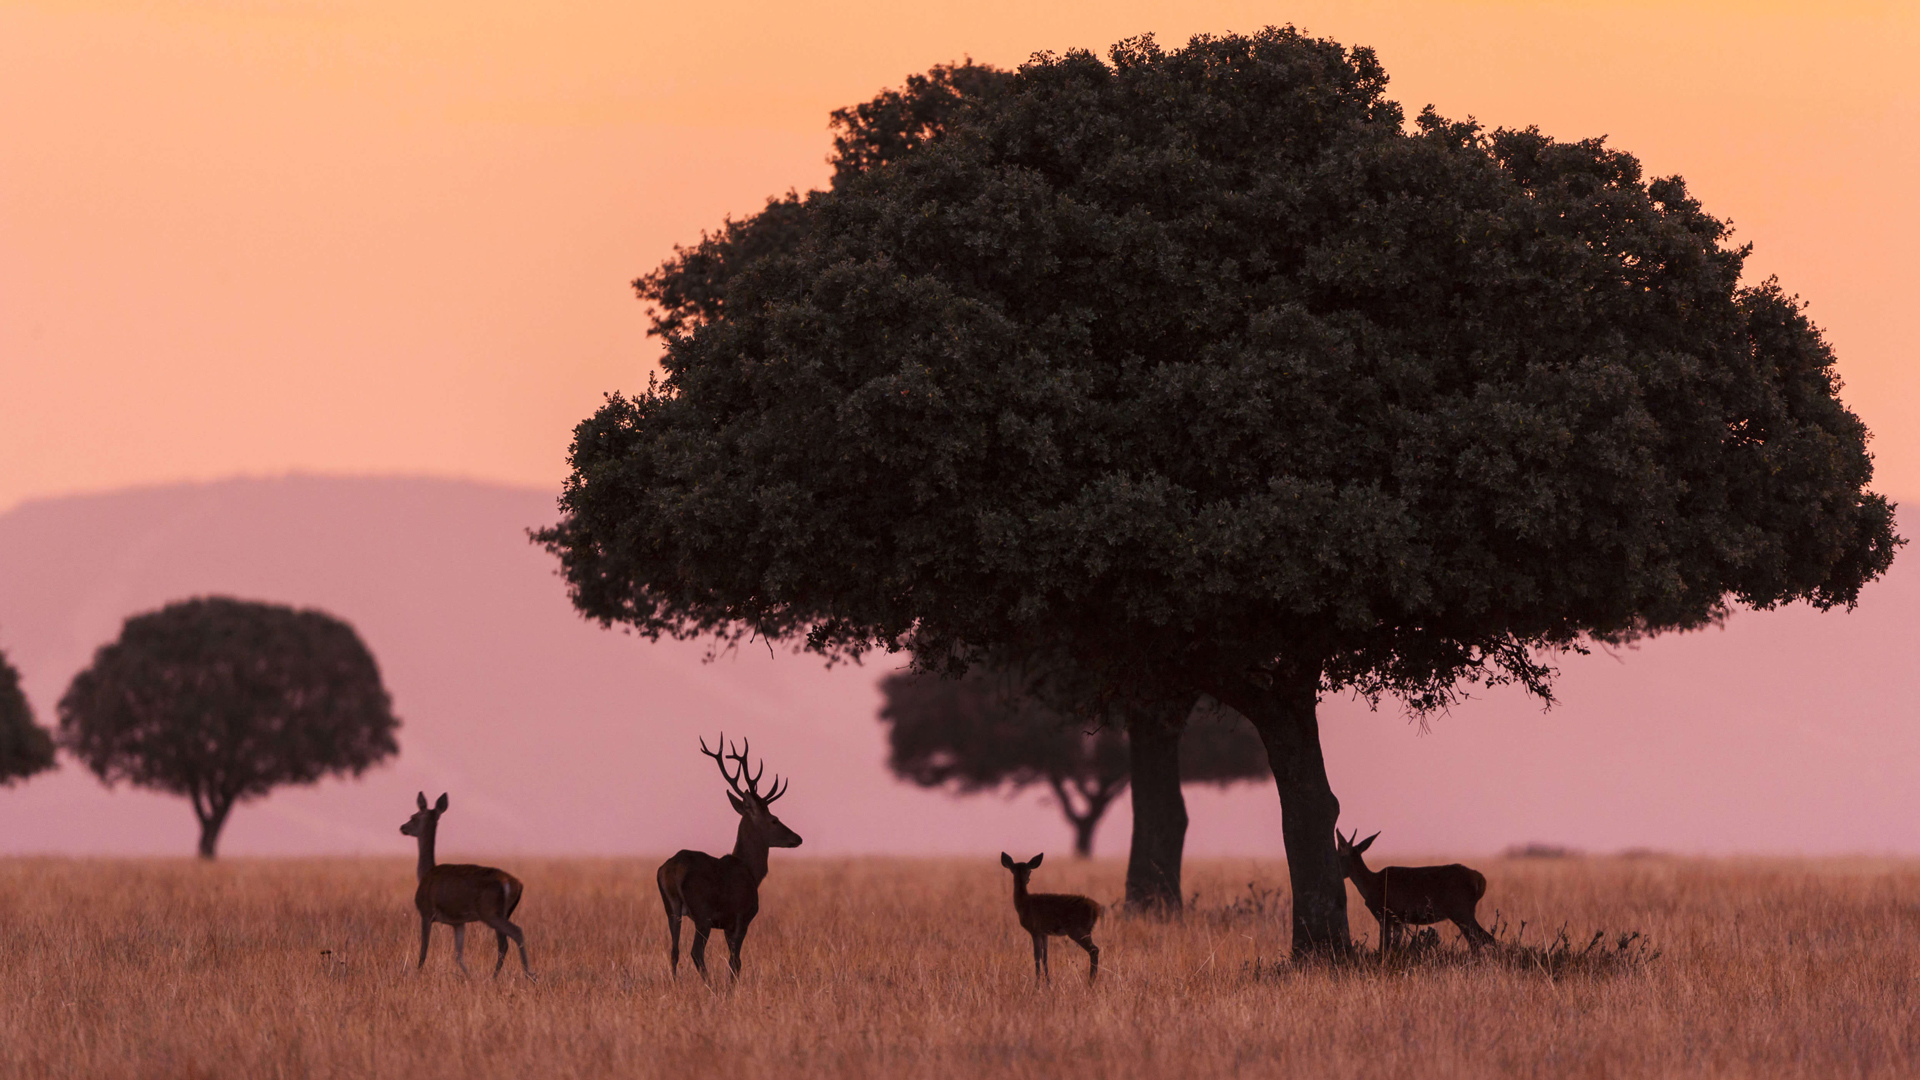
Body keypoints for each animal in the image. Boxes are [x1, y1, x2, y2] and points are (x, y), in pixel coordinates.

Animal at [395, 791, 533, 976]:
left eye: (413, 817)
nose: (402, 827)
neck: (425, 873)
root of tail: (515, 884)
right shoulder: (458, 922)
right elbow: (458, 955)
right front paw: (469, 977)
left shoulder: (426, 912)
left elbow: (423, 951)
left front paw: (418, 974)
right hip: (503, 912)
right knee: (503, 944)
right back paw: (496, 976)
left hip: (489, 912)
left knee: (516, 933)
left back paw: (527, 975)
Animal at [656, 730, 798, 976]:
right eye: (774, 819)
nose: (797, 838)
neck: (751, 871)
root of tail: (672, 870)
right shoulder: (741, 917)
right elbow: (735, 961)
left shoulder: (726, 925)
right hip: (702, 911)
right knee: (696, 952)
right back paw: (709, 984)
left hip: (671, 908)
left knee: (674, 951)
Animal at [1344, 826, 1489, 945]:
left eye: (1340, 854)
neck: (1371, 884)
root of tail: (1481, 879)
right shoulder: (1398, 919)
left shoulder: (1385, 913)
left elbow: (1384, 945)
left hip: (1460, 910)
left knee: (1480, 939)